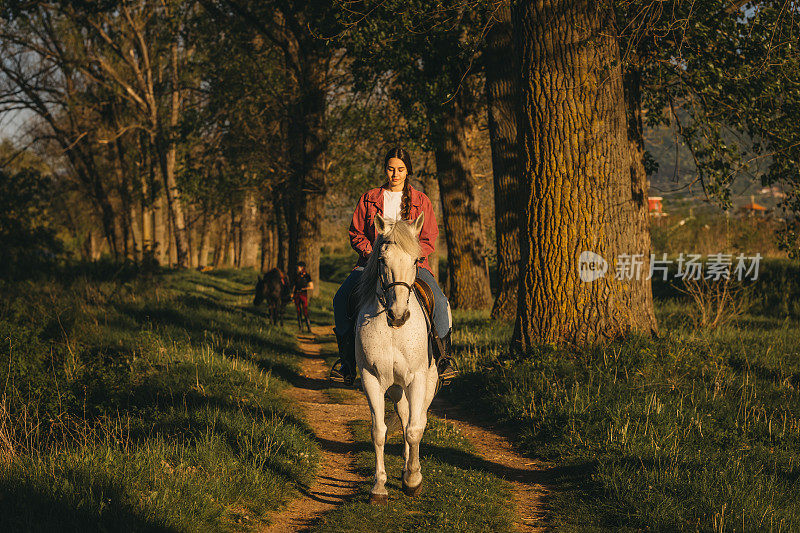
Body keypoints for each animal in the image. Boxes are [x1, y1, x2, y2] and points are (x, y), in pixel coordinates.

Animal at [354, 212, 438, 502]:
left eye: (416, 260)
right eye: (382, 260)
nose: (399, 315)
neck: (394, 330)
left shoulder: (417, 378)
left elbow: (414, 430)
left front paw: (413, 480)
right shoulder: (371, 379)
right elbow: (379, 431)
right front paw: (379, 487)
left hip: (428, 382)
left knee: (418, 421)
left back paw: (412, 470)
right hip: (396, 387)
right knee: (403, 415)